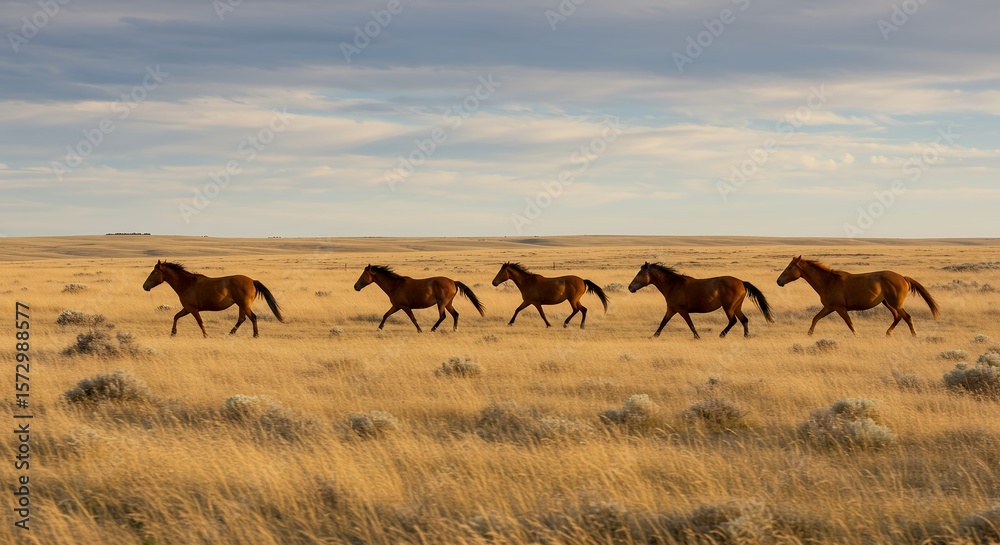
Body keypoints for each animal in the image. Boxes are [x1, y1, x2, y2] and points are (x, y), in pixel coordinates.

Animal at [142, 260, 284, 337]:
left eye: (154, 273)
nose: (144, 286)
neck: (186, 284)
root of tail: (253, 281)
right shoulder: (187, 308)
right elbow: (176, 316)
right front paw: (173, 333)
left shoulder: (192, 309)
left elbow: (200, 322)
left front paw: (205, 335)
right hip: (241, 305)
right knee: (242, 318)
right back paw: (230, 333)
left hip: (244, 305)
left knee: (252, 317)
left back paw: (255, 335)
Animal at [353, 264, 485, 332]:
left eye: (364, 275)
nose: (355, 286)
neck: (395, 285)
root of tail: (453, 282)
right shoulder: (396, 306)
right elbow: (386, 315)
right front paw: (379, 328)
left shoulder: (404, 307)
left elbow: (413, 318)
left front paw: (419, 330)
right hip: (448, 303)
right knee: (455, 314)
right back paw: (454, 329)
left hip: (441, 303)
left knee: (443, 316)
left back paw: (433, 329)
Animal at [628, 262, 774, 339]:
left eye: (640, 274)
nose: (630, 287)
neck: (673, 285)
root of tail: (742, 282)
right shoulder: (671, 309)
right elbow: (663, 323)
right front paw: (654, 336)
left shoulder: (681, 310)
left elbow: (690, 324)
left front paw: (697, 336)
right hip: (736, 307)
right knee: (744, 320)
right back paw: (745, 336)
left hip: (728, 307)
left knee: (733, 321)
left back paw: (722, 334)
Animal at [776, 256, 940, 337]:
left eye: (790, 267)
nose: (779, 281)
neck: (829, 281)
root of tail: (903, 277)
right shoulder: (829, 307)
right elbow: (815, 318)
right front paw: (809, 334)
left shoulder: (840, 308)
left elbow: (849, 323)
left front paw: (857, 335)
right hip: (887, 303)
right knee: (898, 317)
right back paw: (888, 334)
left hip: (896, 304)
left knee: (907, 317)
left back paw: (914, 336)